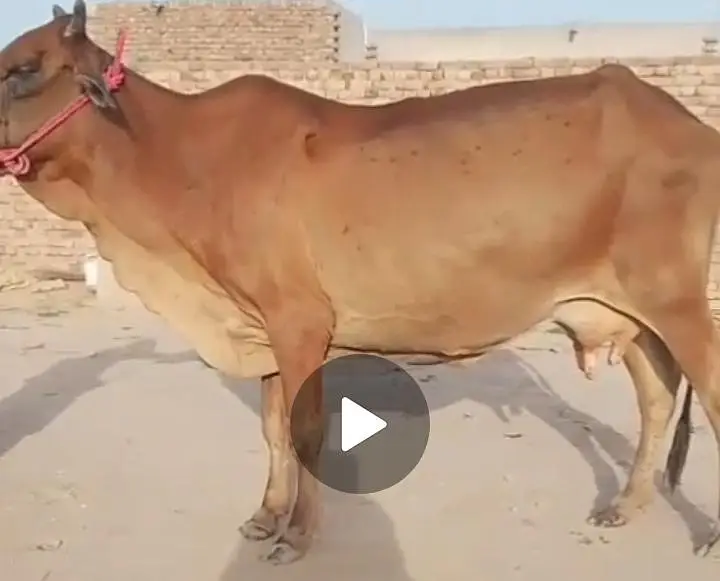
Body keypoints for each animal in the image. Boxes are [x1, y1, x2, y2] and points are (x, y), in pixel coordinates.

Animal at [0, 0, 716, 565]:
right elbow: (273, 431)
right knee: (657, 398)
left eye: (27, 68)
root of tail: (685, 122)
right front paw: (266, 517)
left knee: (704, 395)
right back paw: (625, 504)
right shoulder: (262, 326)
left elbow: (306, 430)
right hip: (630, 313)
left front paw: (297, 535)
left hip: (678, 303)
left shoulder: (299, 323)